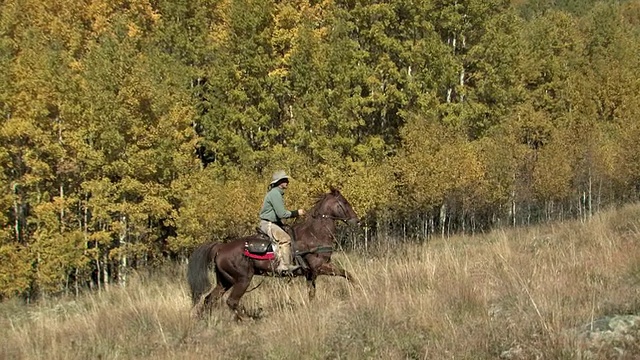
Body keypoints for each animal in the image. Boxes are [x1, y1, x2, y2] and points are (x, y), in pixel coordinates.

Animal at [188, 187, 362, 320]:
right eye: (344, 202)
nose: (357, 221)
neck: (314, 234)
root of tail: (220, 248)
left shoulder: (311, 273)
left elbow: (312, 293)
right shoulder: (321, 267)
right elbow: (346, 273)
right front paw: (358, 289)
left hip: (225, 281)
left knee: (209, 299)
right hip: (242, 280)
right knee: (231, 301)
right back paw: (247, 319)